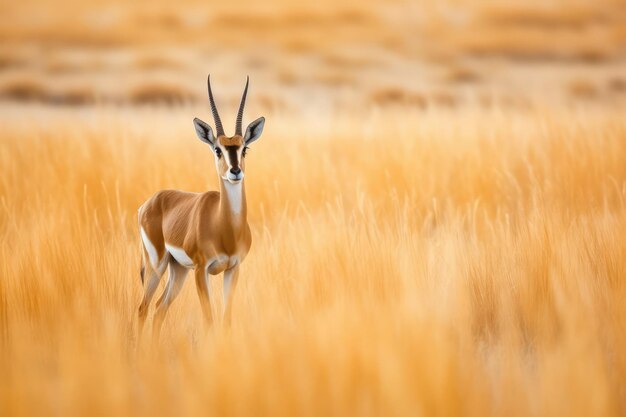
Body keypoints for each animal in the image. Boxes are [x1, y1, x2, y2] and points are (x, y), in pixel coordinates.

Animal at [136, 75, 264, 342]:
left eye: (244, 148)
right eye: (217, 149)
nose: (235, 171)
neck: (224, 227)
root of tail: (148, 203)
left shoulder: (233, 269)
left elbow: (225, 319)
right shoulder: (201, 270)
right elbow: (209, 319)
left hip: (178, 271)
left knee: (159, 308)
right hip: (157, 265)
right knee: (143, 308)